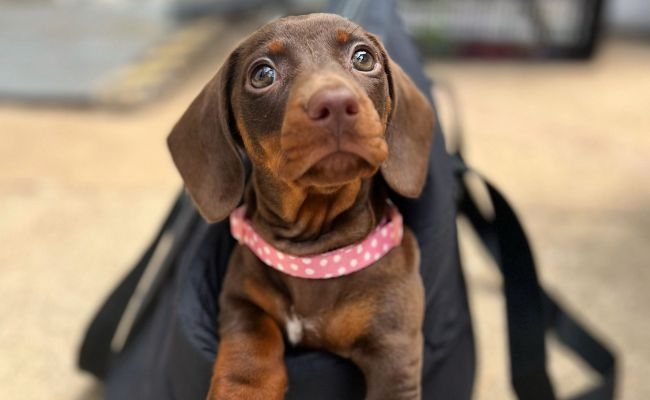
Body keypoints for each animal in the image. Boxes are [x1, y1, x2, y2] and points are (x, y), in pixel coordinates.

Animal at [167, 12, 432, 400]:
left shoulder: (393, 349)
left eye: (363, 58)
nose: (335, 104)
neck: (312, 254)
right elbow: (251, 340)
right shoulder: (240, 296)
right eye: (263, 74)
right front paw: (246, 385)